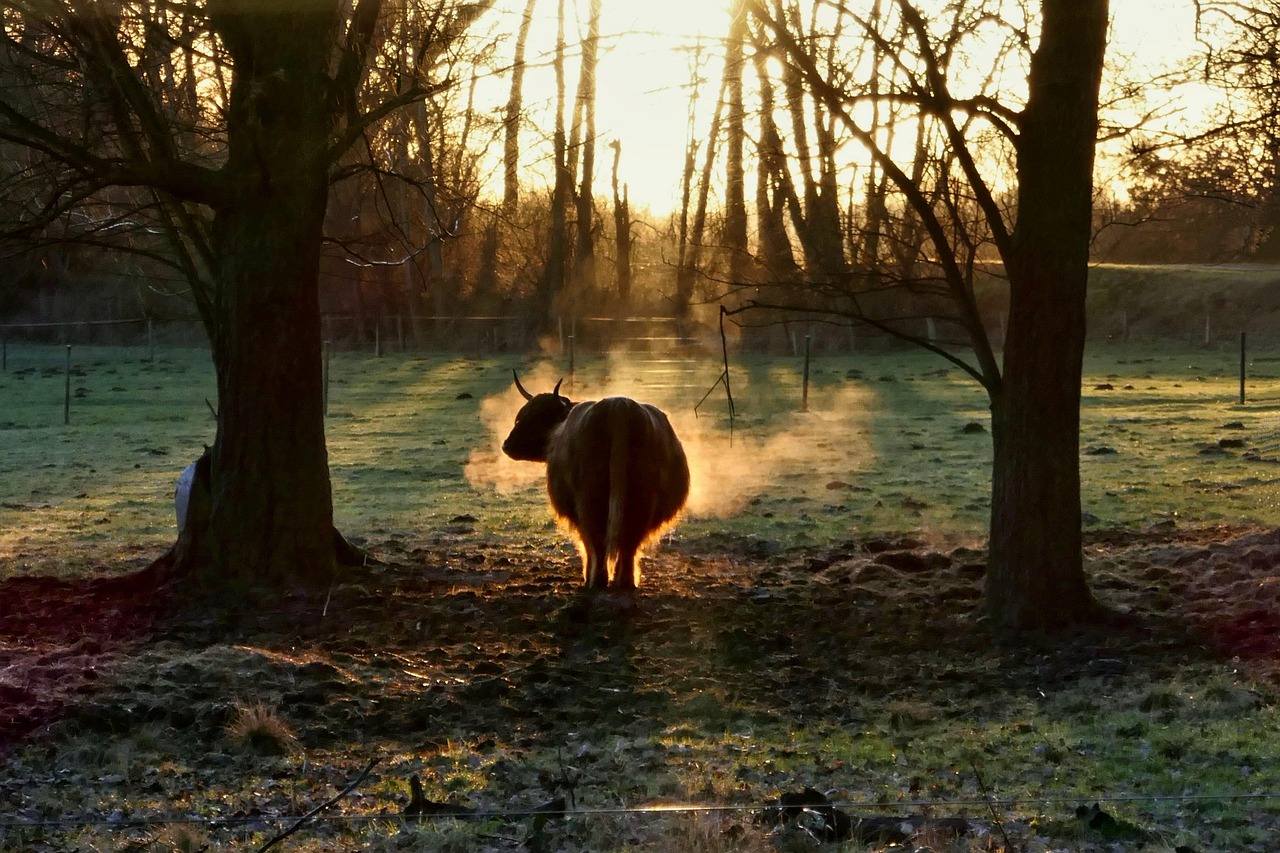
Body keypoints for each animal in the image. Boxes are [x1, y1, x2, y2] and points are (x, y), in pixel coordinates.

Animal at [502, 372, 690, 589]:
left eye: (539, 417)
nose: (507, 445)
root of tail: (619, 407)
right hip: (641, 497)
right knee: (629, 541)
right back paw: (625, 581)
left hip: (589, 498)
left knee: (597, 539)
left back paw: (595, 580)